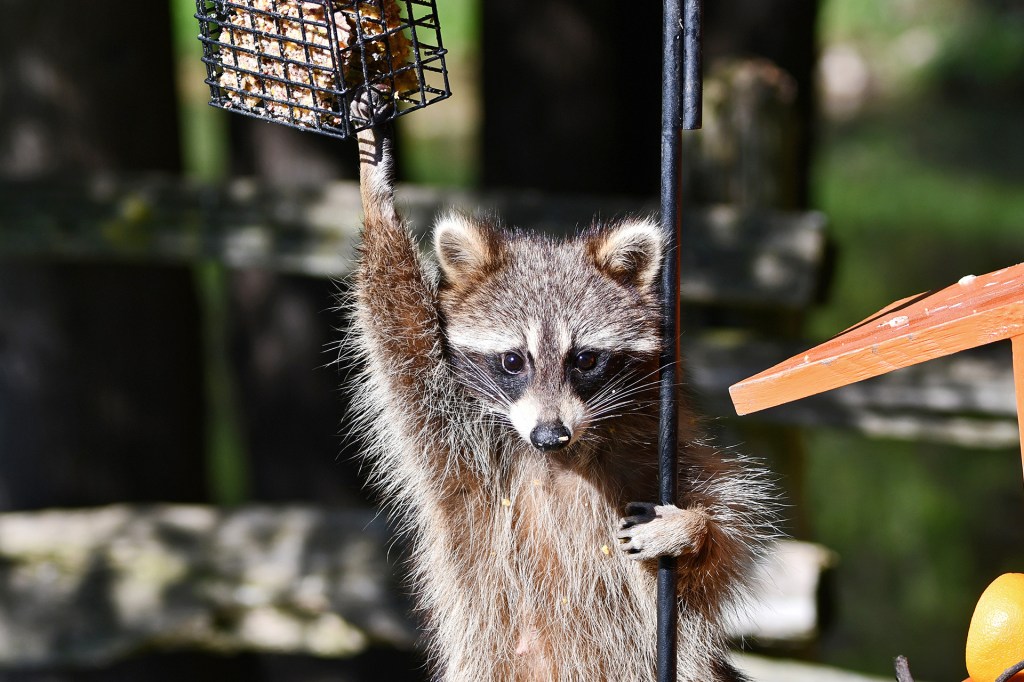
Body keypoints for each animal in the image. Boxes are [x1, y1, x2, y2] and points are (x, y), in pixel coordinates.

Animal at [346, 103, 776, 681]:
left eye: (585, 360)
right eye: (513, 361)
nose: (550, 434)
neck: (558, 461)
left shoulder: (657, 456)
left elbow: (717, 557)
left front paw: (694, 530)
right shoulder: (452, 436)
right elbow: (400, 332)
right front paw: (376, 192)